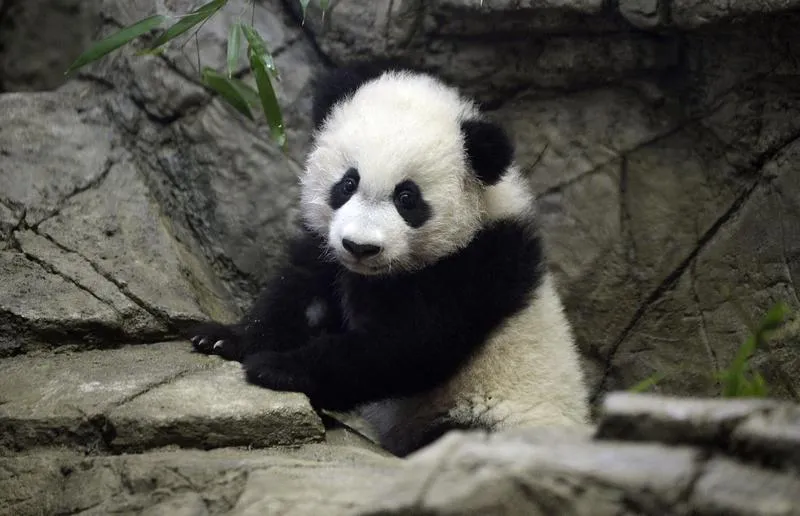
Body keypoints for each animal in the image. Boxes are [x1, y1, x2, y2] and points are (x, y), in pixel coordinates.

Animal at [188, 62, 590, 457]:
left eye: (407, 198)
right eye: (348, 183)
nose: (360, 247)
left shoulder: (479, 266)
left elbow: (405, 345)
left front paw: (277, 368)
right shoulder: (329, 252)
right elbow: (300, 295)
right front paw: (223, 339)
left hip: (500, 415)